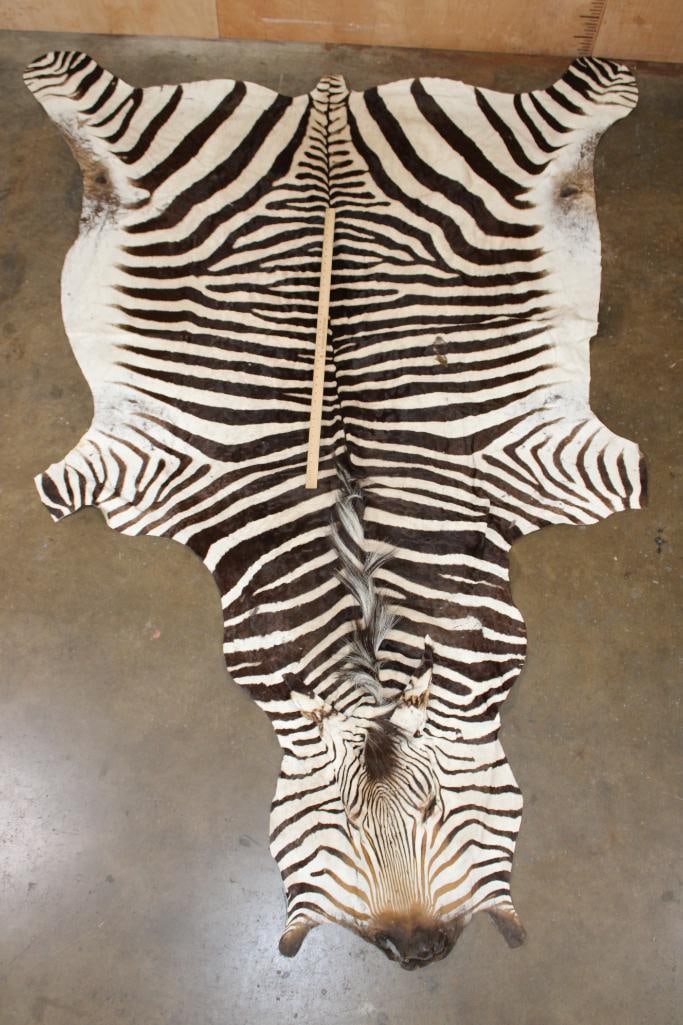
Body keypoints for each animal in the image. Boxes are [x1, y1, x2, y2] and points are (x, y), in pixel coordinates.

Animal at [24, 51, 644, 969]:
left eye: (435, 811)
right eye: (341, 825)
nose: (417, 949)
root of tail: (327, 109)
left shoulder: (566, 466)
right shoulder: (132, 473)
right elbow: (60, 487)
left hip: (502, 146)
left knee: (581, 99)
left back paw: (611, 87)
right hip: (157, 147)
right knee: (82, 91)